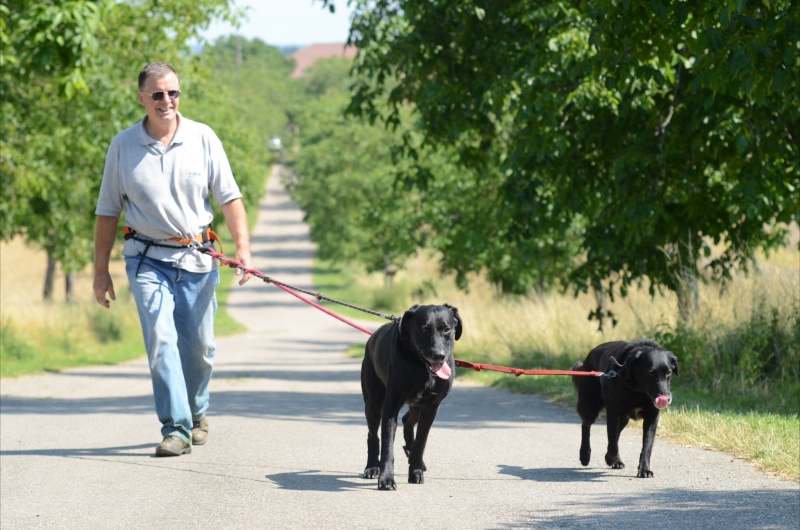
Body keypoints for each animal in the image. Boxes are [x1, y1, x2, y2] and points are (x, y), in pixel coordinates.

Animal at [362, 304, 462, 488]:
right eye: (424, 330)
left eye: (446, 329)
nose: (439, 355)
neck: (421, 368)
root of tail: (372, 338)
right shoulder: (391, 406)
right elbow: (387, 445)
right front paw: (386, 478)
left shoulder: (431, 407)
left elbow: (421, 442)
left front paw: (415, 471)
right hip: (373, 403)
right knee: (373, 435)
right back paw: (372, 467)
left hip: (416, 405)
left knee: (407, 421)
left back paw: (413, 455)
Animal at [572, 338, 680, 478]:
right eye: (650, 373)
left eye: (668, 373)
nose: (665, 398)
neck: (639, 392)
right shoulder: (613, 414)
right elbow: (612, 441)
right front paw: (612, 458)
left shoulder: (652, 417)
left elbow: (647, 446)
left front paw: (644, 469)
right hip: (590, 406)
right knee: (586, 426)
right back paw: (585, 455)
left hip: (624, 419)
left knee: (615, 434)